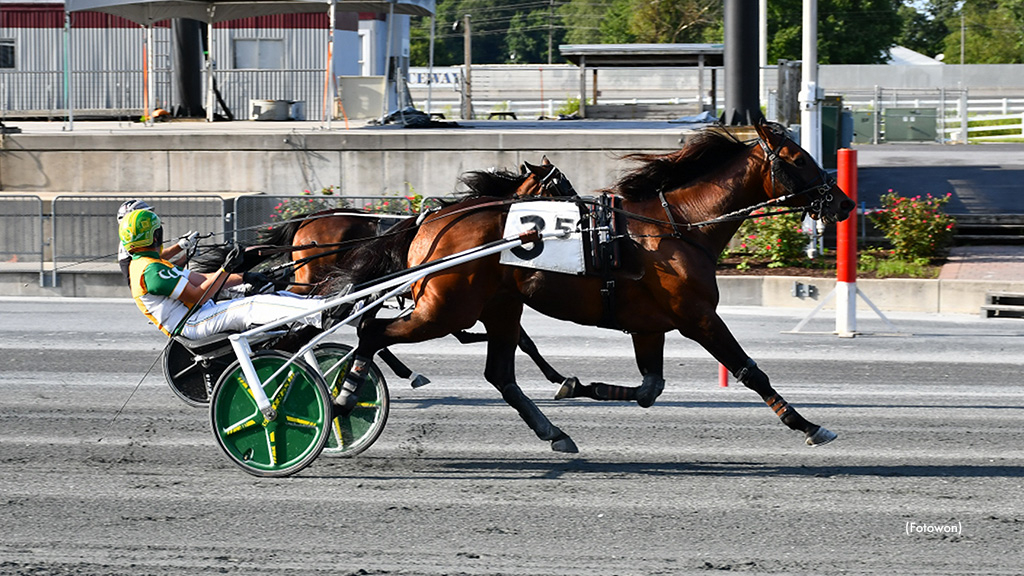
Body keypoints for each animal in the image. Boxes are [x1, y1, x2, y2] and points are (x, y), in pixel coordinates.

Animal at [327, 119, 856, 453]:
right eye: (801, 159)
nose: (844, 203)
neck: (676, 224)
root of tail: (431, 221)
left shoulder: (651, 325)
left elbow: (649, 389)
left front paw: (577, 385)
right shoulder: (698, 316)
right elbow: (750, 371)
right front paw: (808, 424)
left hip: (499, 307)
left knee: (500, 375)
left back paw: (554, 433)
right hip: (446, 308)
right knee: (372, 333)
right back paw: (344, 397)